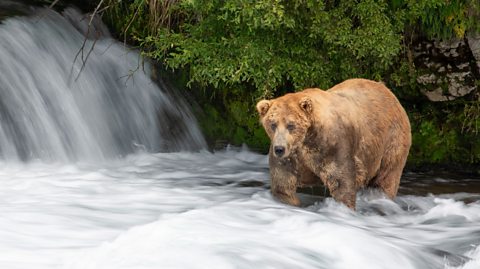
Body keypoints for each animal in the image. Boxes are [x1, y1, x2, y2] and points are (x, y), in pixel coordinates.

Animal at [256, 78, 410, 208]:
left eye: (291, 125)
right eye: (273, 124)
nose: (279, 149)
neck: (306, 139)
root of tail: (389, 92)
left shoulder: (333, 146)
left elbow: (341, 182)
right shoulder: (291, 156)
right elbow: (282, 184)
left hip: (391, 141)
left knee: (387, 176)